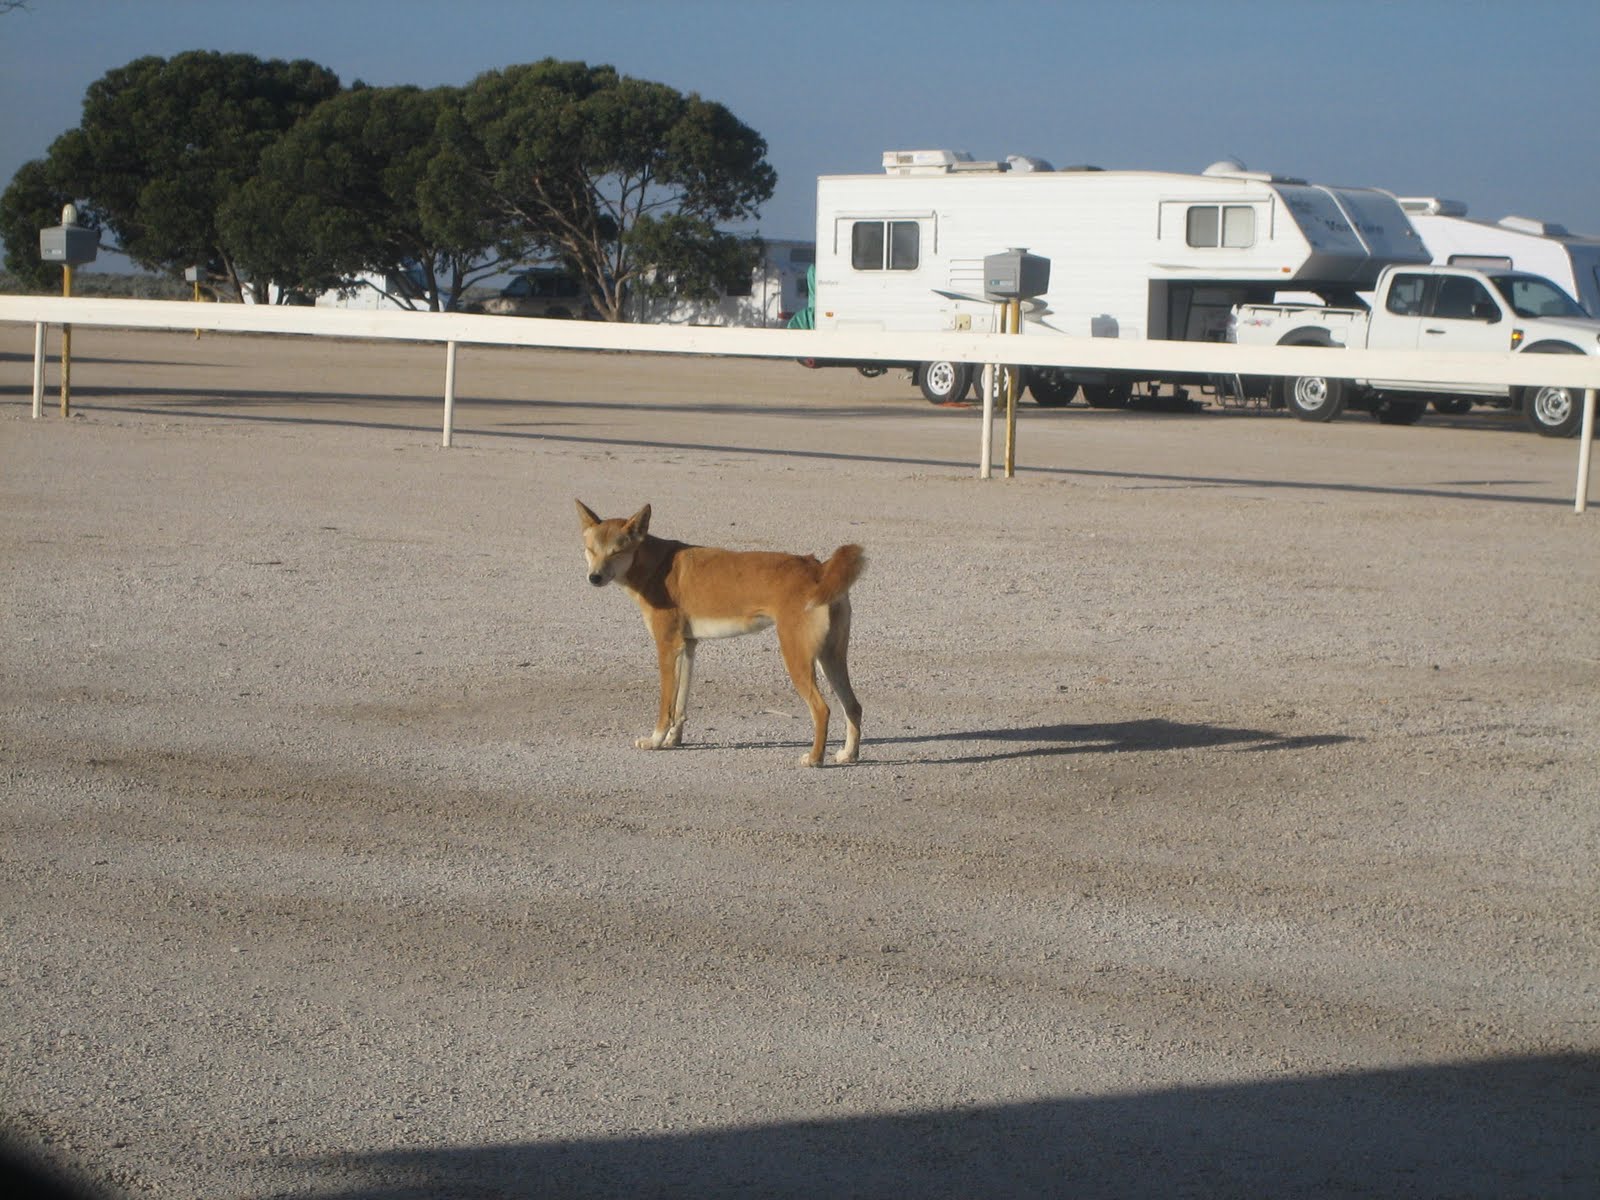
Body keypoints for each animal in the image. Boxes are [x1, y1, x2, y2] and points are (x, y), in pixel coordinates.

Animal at [582, 499, 870, 764]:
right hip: (830, 657)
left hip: (797, 656)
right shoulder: (688, 646)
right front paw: (674, 739)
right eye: (590, 550)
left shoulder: (667, 646)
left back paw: (814, 758)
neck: (656, 566)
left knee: (822, 709)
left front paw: (656, 740)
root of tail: (819, 568)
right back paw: (848, 754)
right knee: (853, 707)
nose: (594, 578)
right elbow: (680, 703)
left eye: (617, 552)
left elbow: (666, 706)